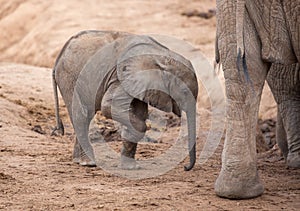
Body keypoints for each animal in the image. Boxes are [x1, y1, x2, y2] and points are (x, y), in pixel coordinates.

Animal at [52, 30, 198, 171]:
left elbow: (139, 112)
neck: (163, 55)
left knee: (85, 117)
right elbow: (109, 106)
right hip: (71, 77)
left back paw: (78, 161)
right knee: (81, 116)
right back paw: (88, 163)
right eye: (184, 92)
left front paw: (131, 168)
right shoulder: (122, 76)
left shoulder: (139, 83)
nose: (185, 167)